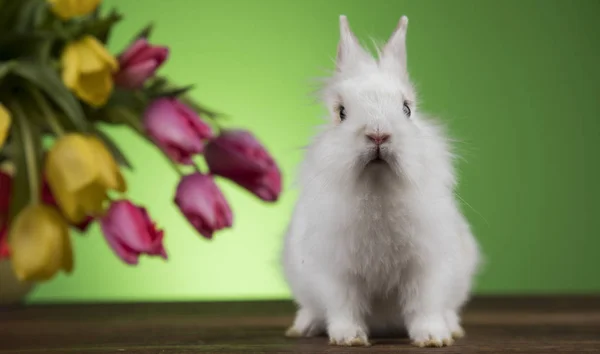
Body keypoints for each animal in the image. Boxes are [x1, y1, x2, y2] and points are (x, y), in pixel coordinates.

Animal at [278, 15, 480, 348]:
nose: (378, 134)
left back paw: (452, 328)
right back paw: (303, 327)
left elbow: (425, 305)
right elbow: (344, 306)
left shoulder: (428, 267)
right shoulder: (336, 272)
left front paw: (433, 338)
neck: (377, 190)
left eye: (407, 108)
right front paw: (349, 338)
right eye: (341, 112)